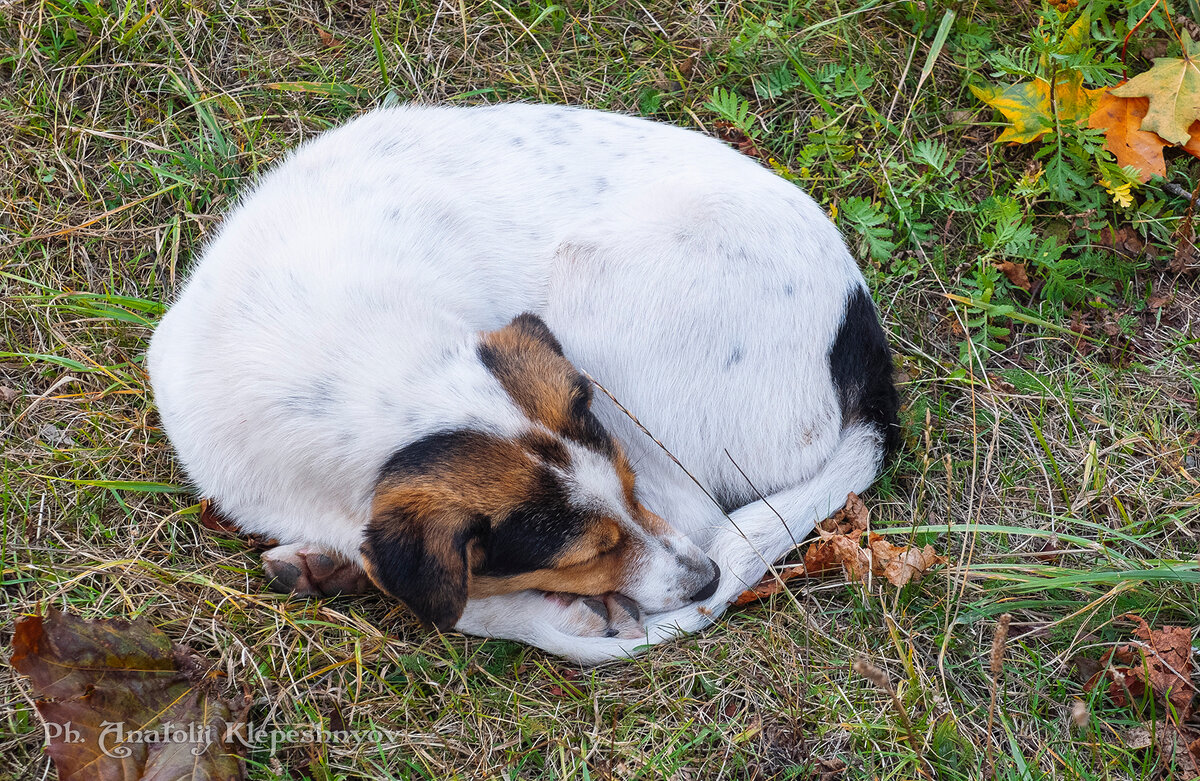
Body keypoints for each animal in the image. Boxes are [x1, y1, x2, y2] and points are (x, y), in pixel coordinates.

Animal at [147, 103, 902, 667]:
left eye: (626, 493)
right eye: (591, 549)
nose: (706, 582)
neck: (349, 355)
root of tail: (867, 358)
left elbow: (466, 607)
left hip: (598, 297)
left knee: (701, 517)